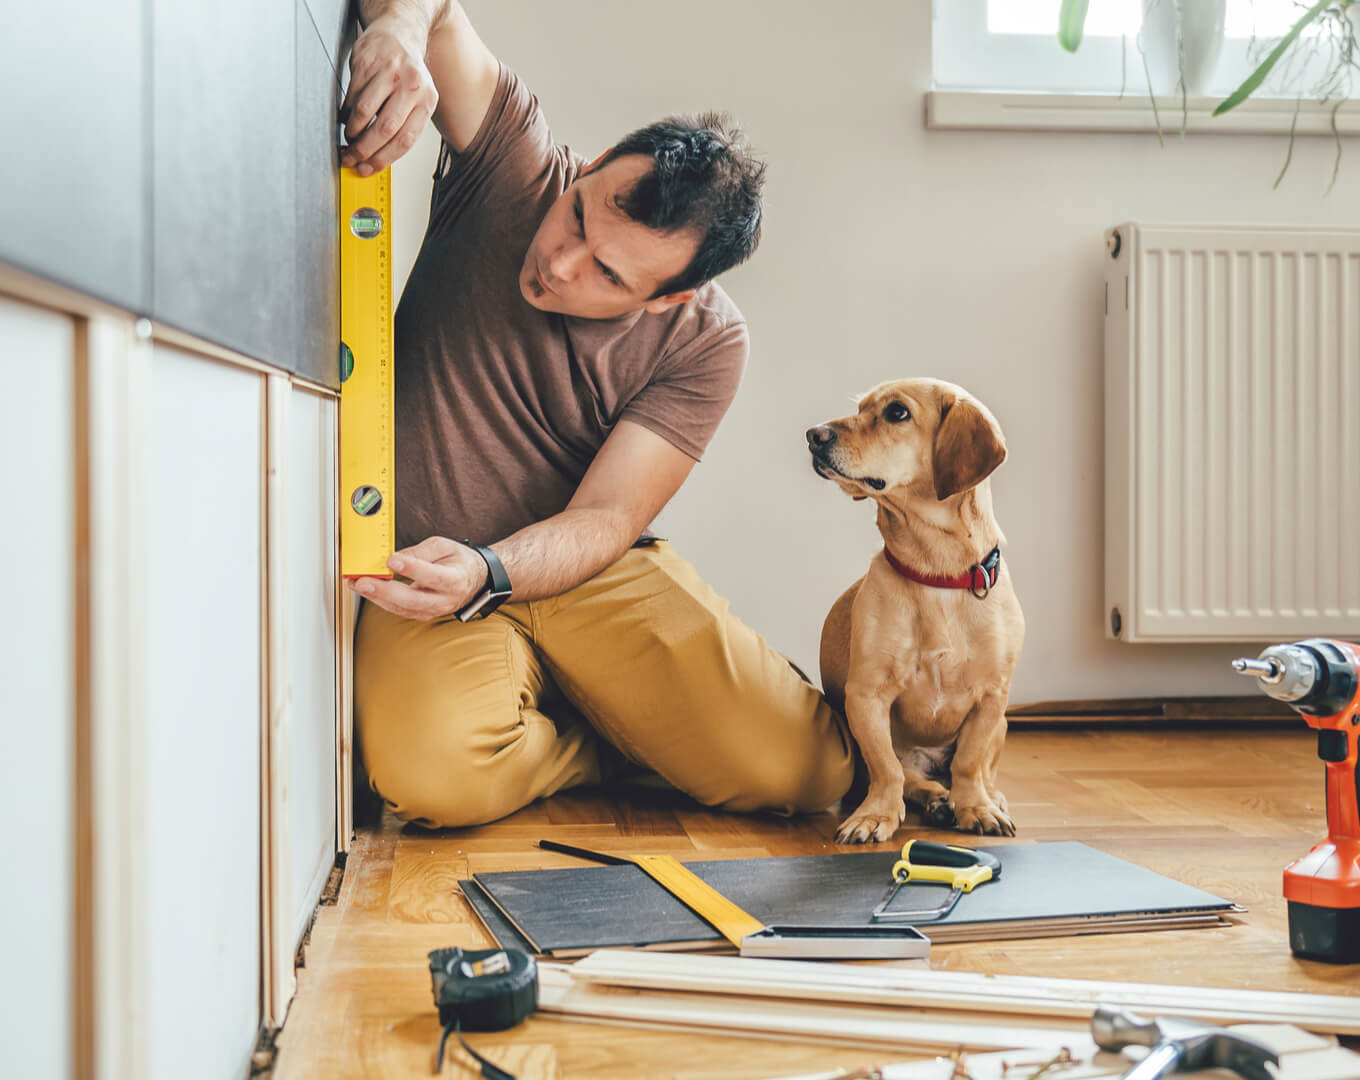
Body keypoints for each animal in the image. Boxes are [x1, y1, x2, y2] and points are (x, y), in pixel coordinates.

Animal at [805, 375, 1022, 843]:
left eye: (897, 412)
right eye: (860, 408)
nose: (813, 435)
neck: (937, 574)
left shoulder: (992, 698)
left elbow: (969, 762)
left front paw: (976, 807)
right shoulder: (867, 697)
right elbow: (888, 769)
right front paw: (875, 816)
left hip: (1002, 725)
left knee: (979, 771)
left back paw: (983, 798)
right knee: (912, 776)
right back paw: (936, 798)